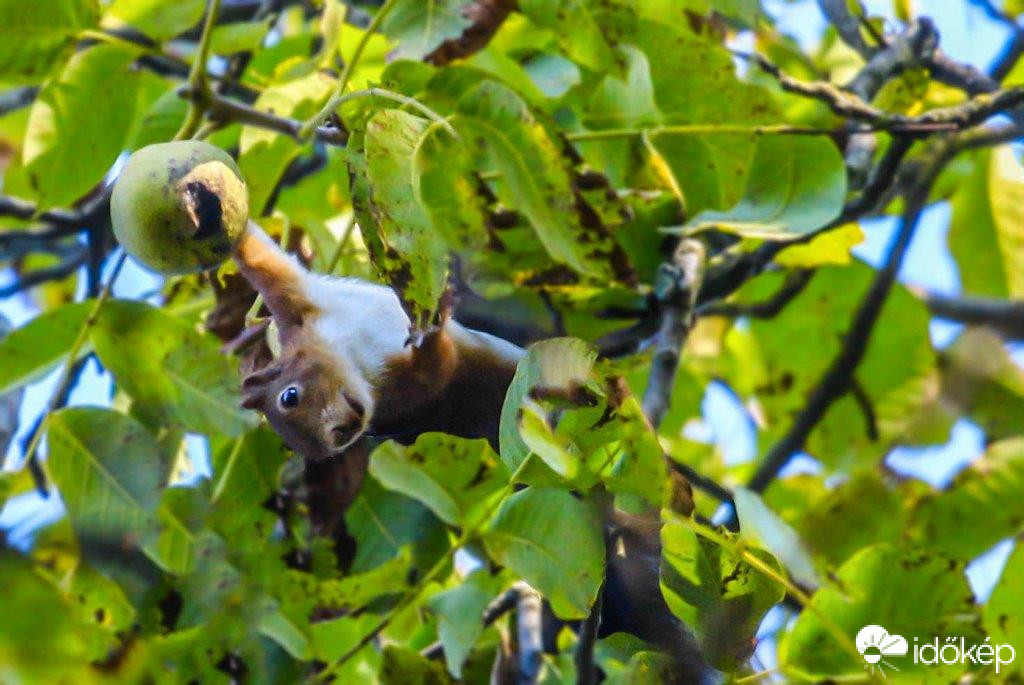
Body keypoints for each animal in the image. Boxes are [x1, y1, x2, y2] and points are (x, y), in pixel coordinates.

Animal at [229, 222, 524, 458]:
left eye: (289, 396)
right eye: (332, 447)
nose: (341, 432)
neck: (351, 356)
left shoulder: (293, 305)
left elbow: (257, 255)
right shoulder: (401, 402)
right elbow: (436, 371)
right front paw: (431, 337)